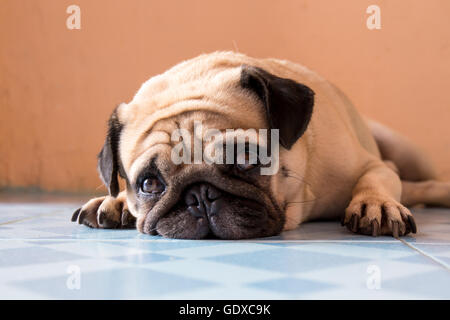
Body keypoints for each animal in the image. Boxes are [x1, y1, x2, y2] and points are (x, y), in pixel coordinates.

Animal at [71, 51, 450, 239]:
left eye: (245, 158)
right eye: (149, 184)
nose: (200, 196)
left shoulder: (373, 166)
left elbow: (375, 177)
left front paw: (377, 204)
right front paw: (116, 201)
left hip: (406, 151)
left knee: (418, 181)